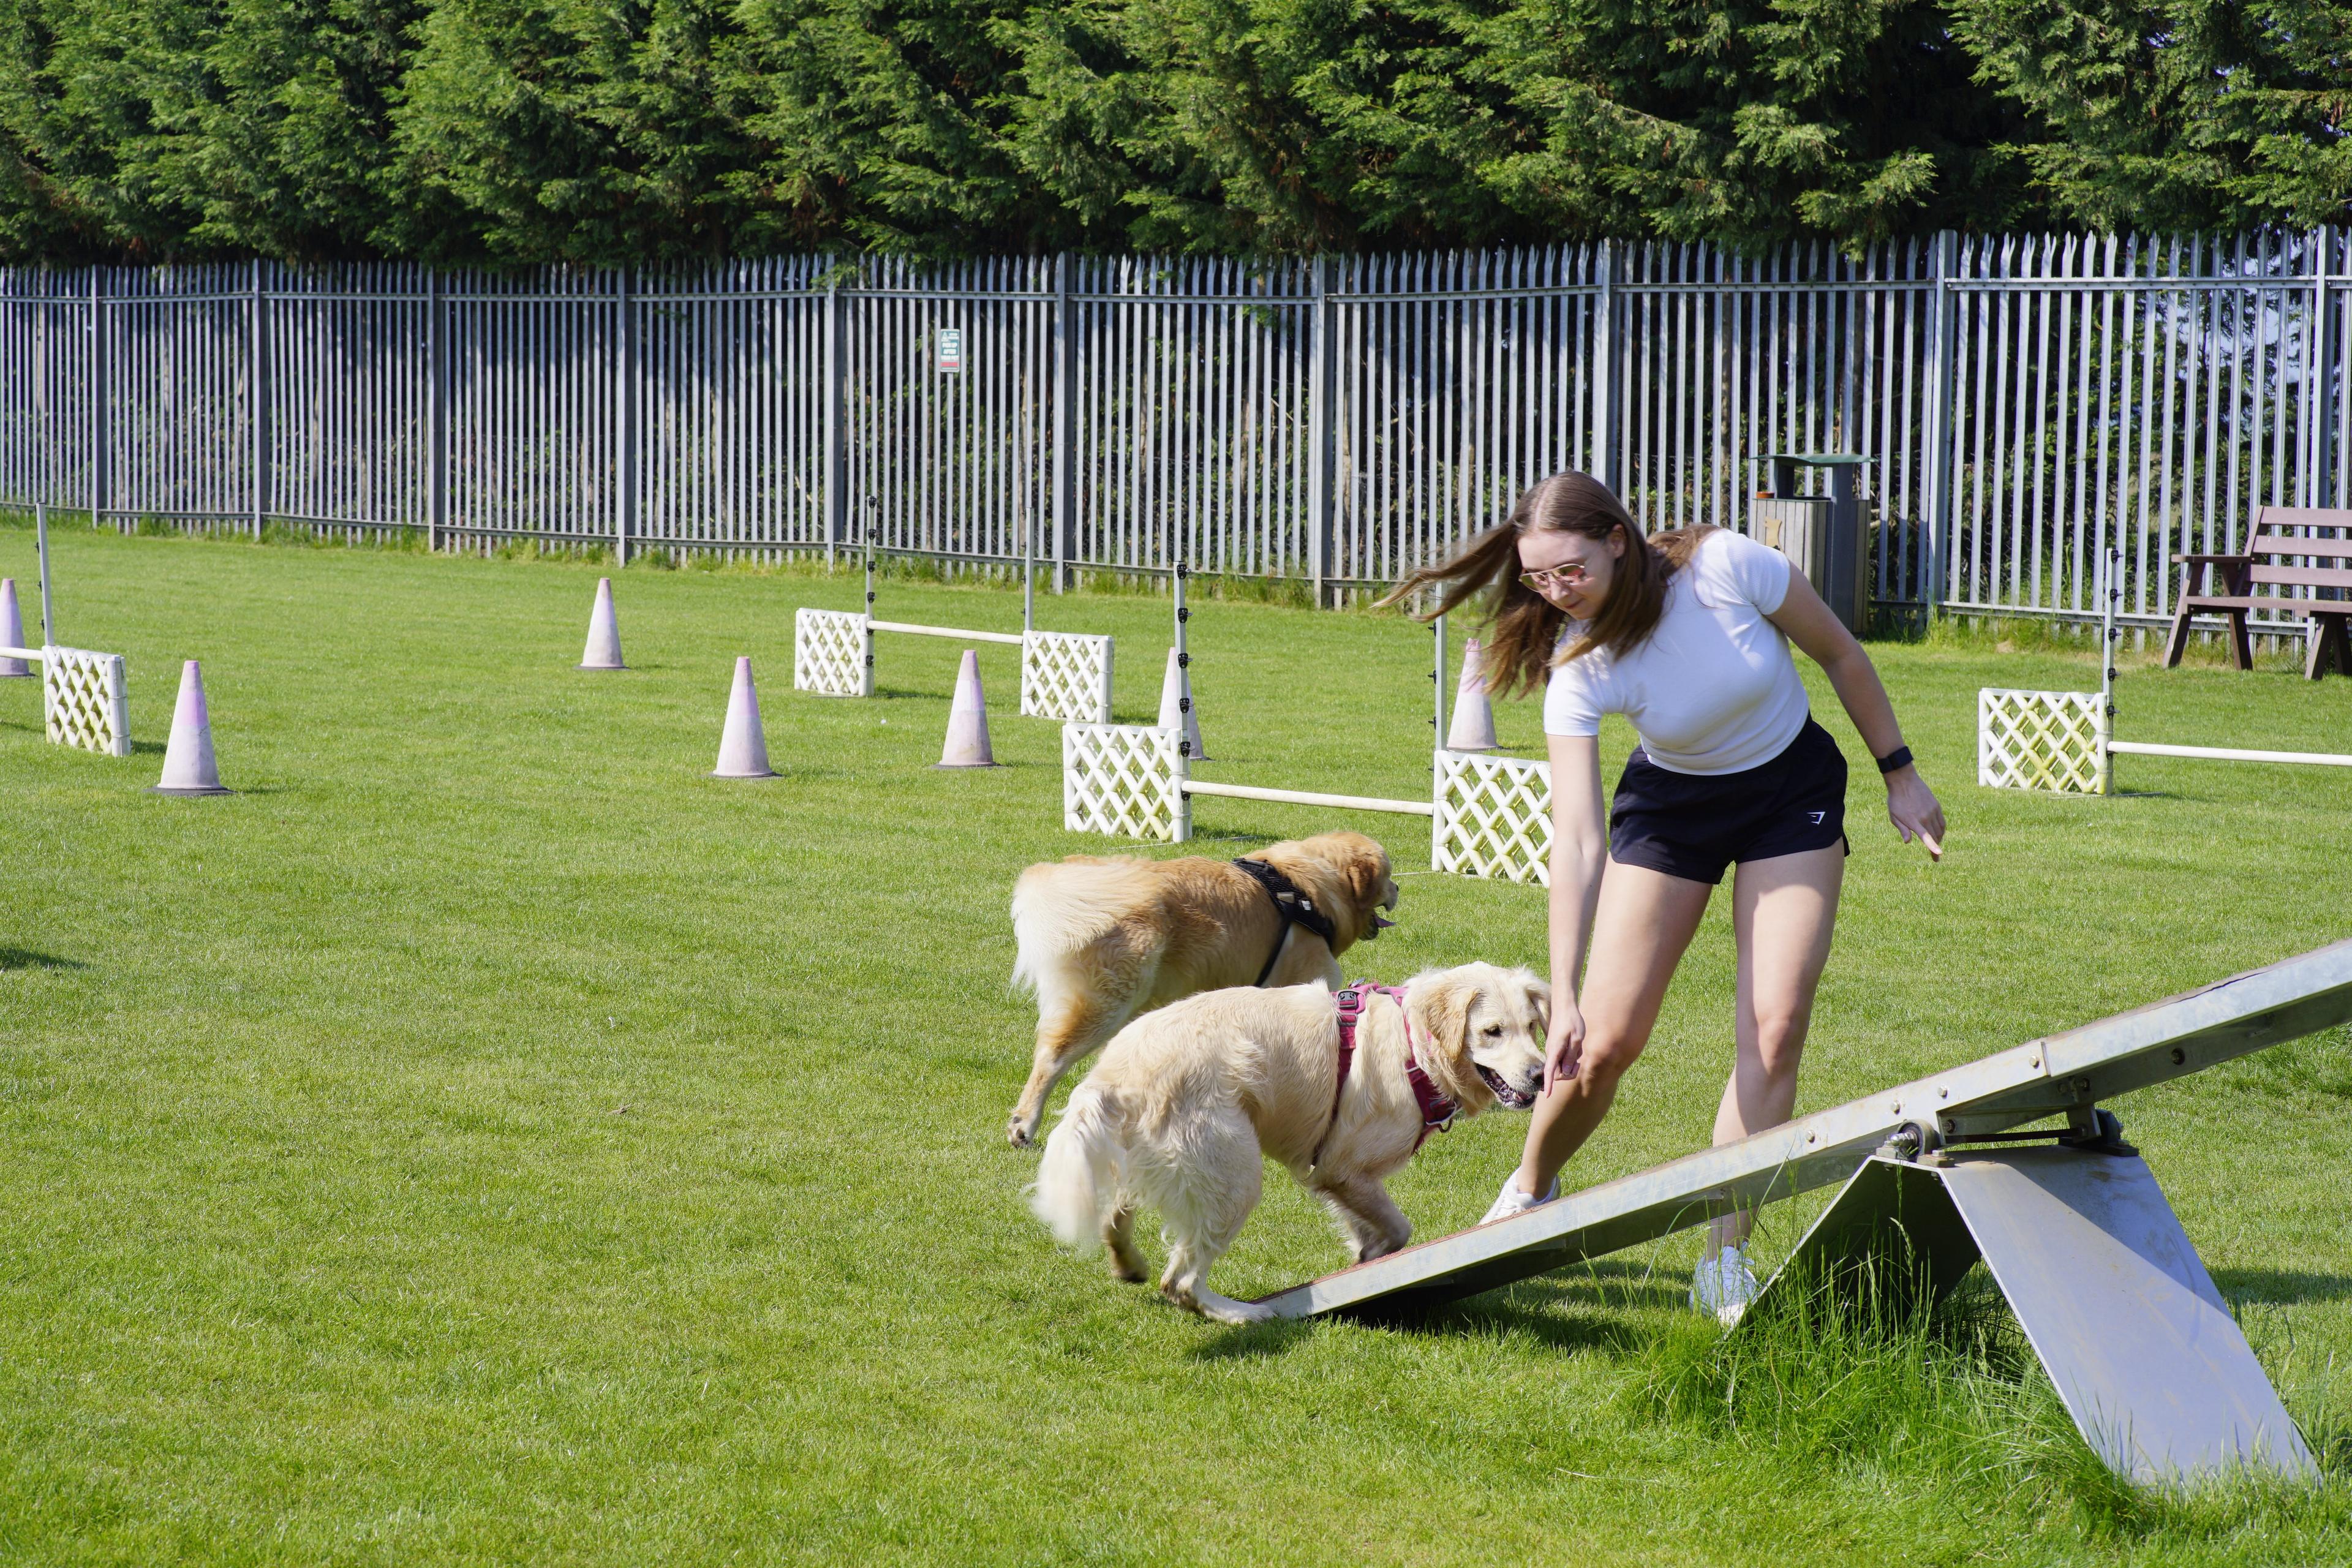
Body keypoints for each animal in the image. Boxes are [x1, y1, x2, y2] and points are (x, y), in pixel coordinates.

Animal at [1006, 832, 1392, 1152]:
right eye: (1389, 875)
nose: (1399, 890)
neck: (1309, 891)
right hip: (1110, 1003)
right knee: (1051, 1059)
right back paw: (1025, 1124)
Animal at [1025, 968, 1543, 1325]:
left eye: (1533, 1026)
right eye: (1492, 1031)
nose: (1541, 1074)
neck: (1414, 1046)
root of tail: (1112, 1075)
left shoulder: (1343, 1180)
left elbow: (1376, 1230)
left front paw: (1365, 1259)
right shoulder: (1344, 1169)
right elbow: (1399, 1227)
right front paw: (1372, 1260)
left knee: (1116, 1218)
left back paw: (1129, 1264)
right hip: (1235, 1178)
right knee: (1182, 1281)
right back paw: (1241, 1313)